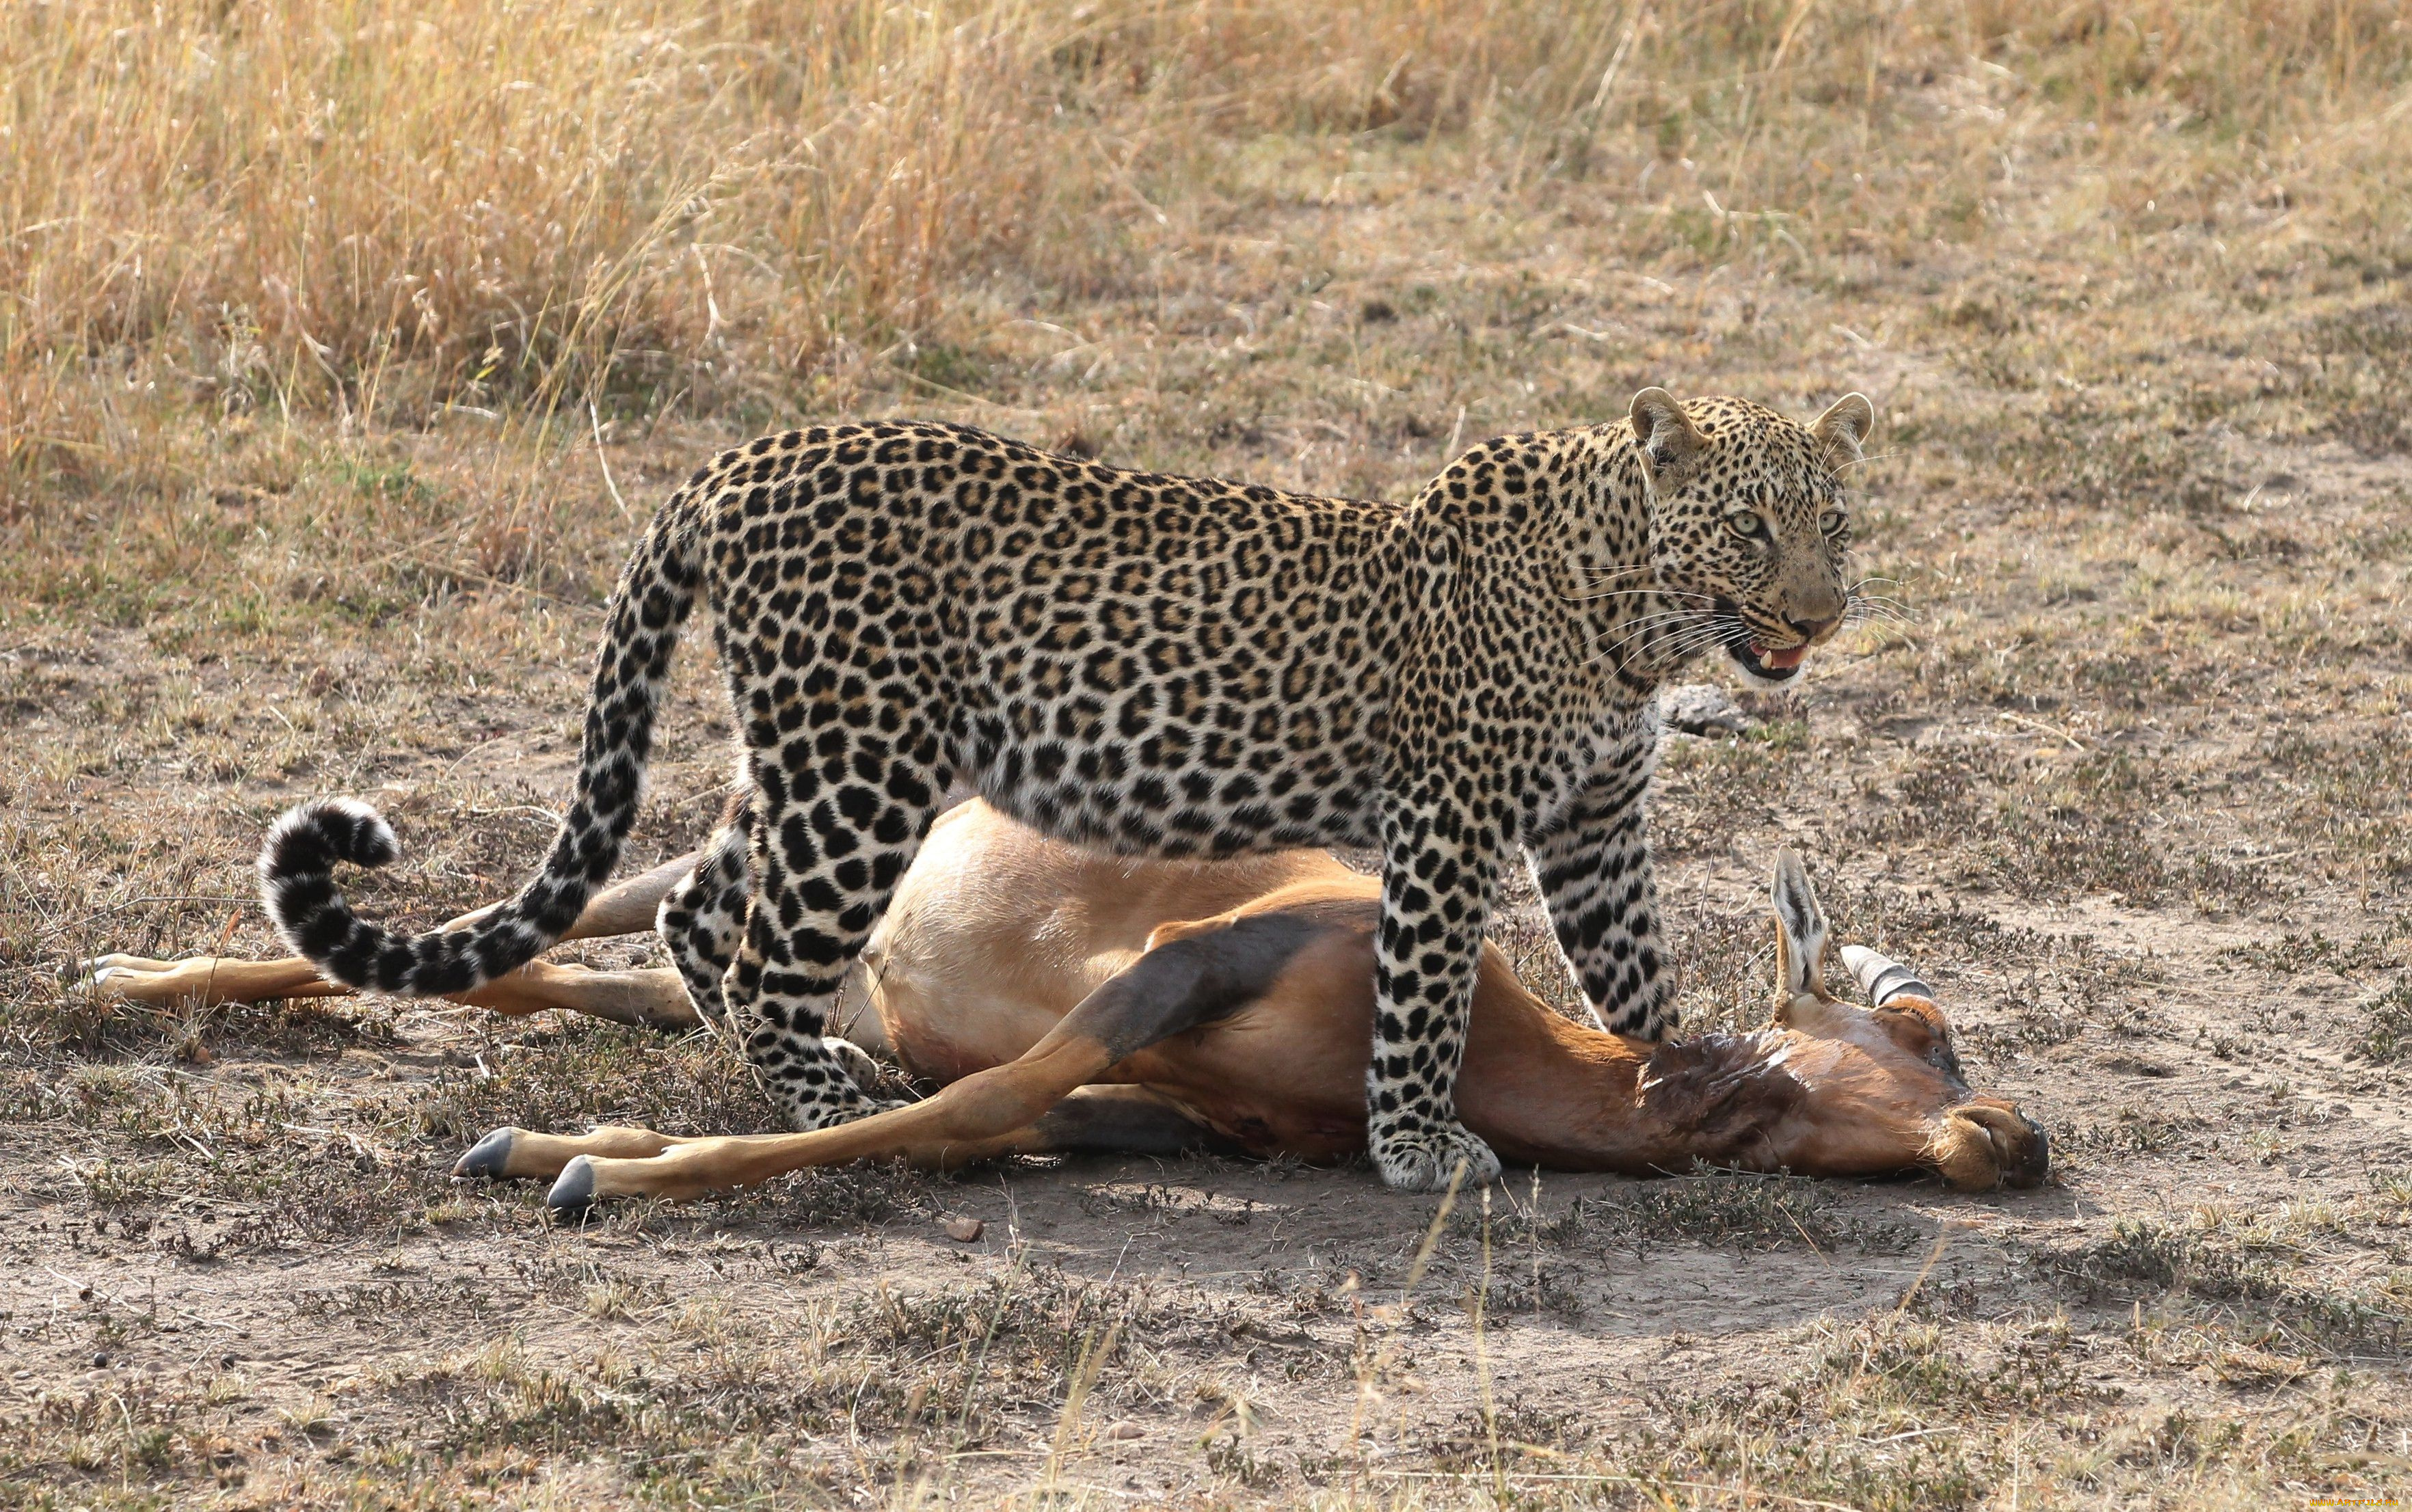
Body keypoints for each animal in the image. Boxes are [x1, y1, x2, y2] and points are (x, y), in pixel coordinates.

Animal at [269, 383, 1881, 1191]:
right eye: (1751, 526)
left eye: (1838, 522)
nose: (1818, 616)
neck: (1632, 614)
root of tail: (736, 463)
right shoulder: (1451, 819)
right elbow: (1423, 995)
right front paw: (1420, 1146)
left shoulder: (1599, 823)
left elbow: (1636, 975)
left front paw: (1684, 1073)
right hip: (862, 770)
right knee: (765, 947)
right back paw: (832, 1100)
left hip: (806, 755)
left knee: (702, 909)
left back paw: (792, 1062)